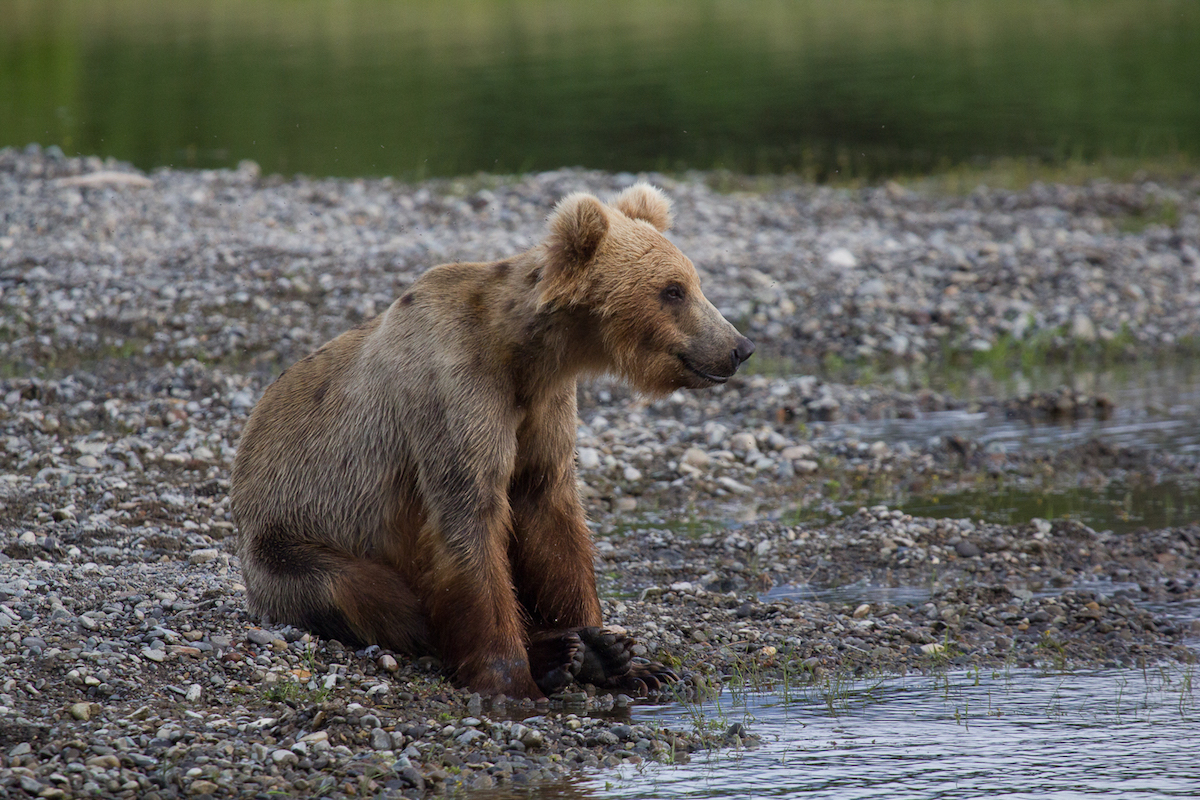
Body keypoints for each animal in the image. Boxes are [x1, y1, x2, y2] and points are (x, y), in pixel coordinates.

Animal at [230, 183, 753, 700]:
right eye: (672, 290)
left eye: (694, 282)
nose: (739, 347)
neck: (523, 353)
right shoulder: (454, 391)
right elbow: (469, 519)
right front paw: (515, 679)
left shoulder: (544, 408)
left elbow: (550, 513)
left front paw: (619, 652)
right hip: (290, 544)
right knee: (363, 593)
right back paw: (554, 655)